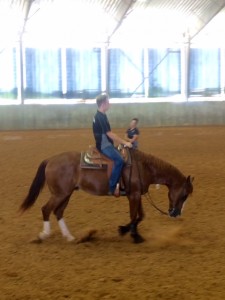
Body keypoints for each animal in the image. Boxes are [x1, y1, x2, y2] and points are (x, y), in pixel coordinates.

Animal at [20, 149, 194, 243]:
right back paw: (43, 235)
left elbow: (140, 216)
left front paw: (130, 232)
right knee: (46, 209)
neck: (142, 166)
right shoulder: (134, 195)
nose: (176, 213)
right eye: (184, 194)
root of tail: (50, 160)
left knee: (58, 212)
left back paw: (70, 237)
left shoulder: (135, 194)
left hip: (66, 194)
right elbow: (134, 216)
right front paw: (131, 234)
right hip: (59, 194)